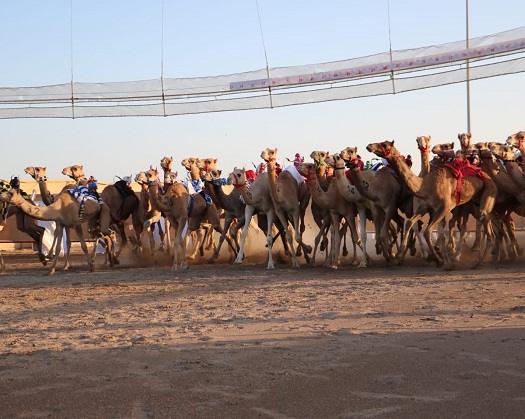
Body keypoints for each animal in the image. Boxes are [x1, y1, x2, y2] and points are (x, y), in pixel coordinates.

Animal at [364, 141, 496, 266]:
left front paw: (440, 260)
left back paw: (476, 260)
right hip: (474, 202)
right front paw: (400, 255)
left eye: (384, 144)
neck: (425, 186)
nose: (369, 146)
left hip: (489, 190)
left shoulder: (445, 207)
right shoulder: (424, 208)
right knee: (484, 219)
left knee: (481, 219)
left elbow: (429, 231)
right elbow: (411, 223)